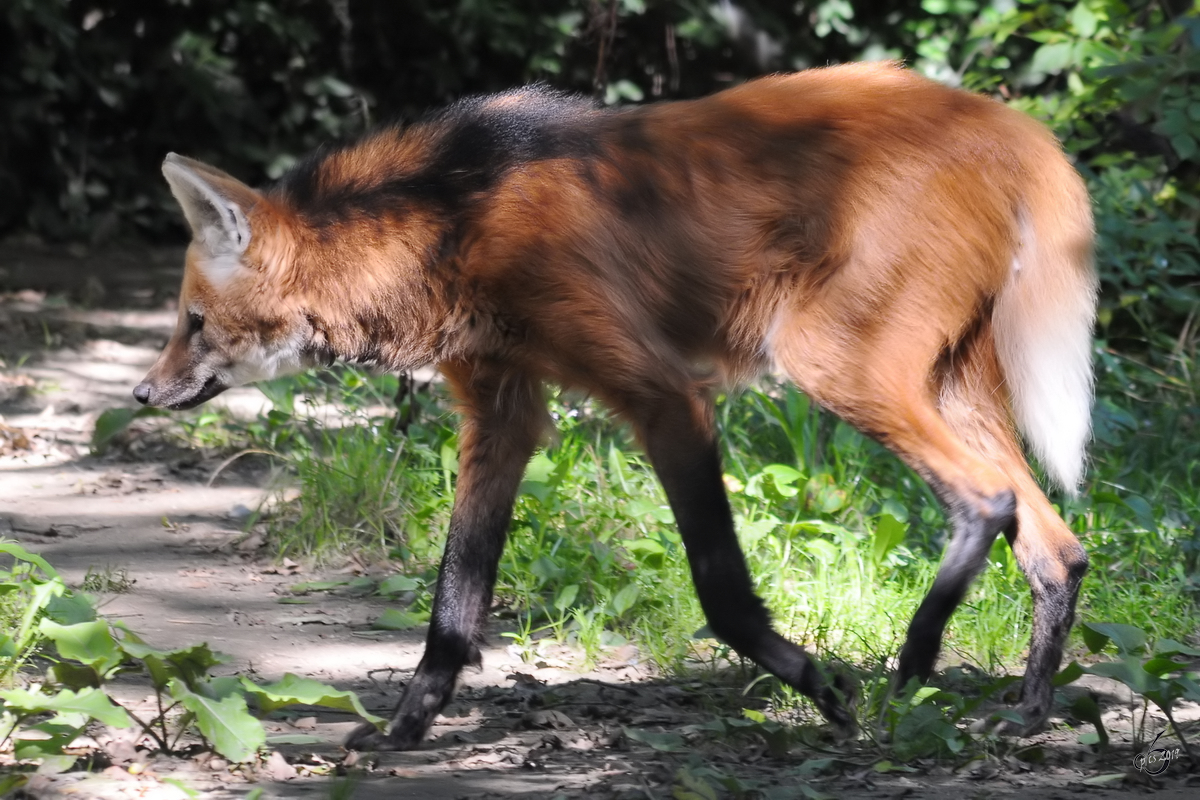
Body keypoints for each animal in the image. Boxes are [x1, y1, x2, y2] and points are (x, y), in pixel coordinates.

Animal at [138, 61, 1099, 753]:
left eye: (192, 322)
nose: (145, 391)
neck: (454, 222)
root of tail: (1004, 121)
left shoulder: (662, 394)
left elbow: (720, 586)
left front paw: (826, 688)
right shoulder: (504, 412)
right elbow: (455, 600)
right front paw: (403, 728)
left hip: (833, 361)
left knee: (989, 499)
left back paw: (915, 662)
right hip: (944, 383)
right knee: (1058, 546)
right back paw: (1026, 715)